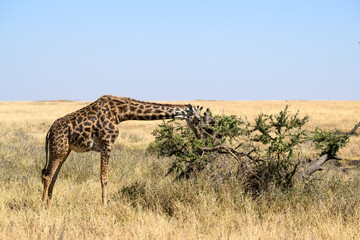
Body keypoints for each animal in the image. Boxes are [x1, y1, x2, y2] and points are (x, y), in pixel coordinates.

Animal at [41, 94, 202, 207]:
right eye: (199, 119)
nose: (200, 135)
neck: (120, 112)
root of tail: (49, 131)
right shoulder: (107, 143)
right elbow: (104, 178)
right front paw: (104, 206)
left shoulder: (106, 145)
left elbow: (103, 177)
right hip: (58, 149)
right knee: (47, 176)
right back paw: (42, 206)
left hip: (64, 151)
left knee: (53, 176)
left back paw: (50, 205)